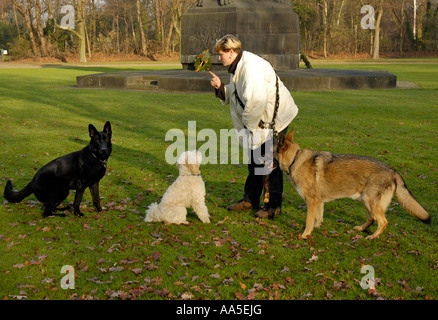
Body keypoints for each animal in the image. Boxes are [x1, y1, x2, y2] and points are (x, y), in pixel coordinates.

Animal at [278, 131, 430, 240]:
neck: (295, 159)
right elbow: (318, 218)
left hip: (370, 202)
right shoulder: (318, 201)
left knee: (383, 222)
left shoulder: (311, 201)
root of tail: (393, 171)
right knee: (372, 218)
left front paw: (305, 235)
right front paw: (316, 228)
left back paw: (373, 236)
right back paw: (361, 229)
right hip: (365, 201)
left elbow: (309, 220)